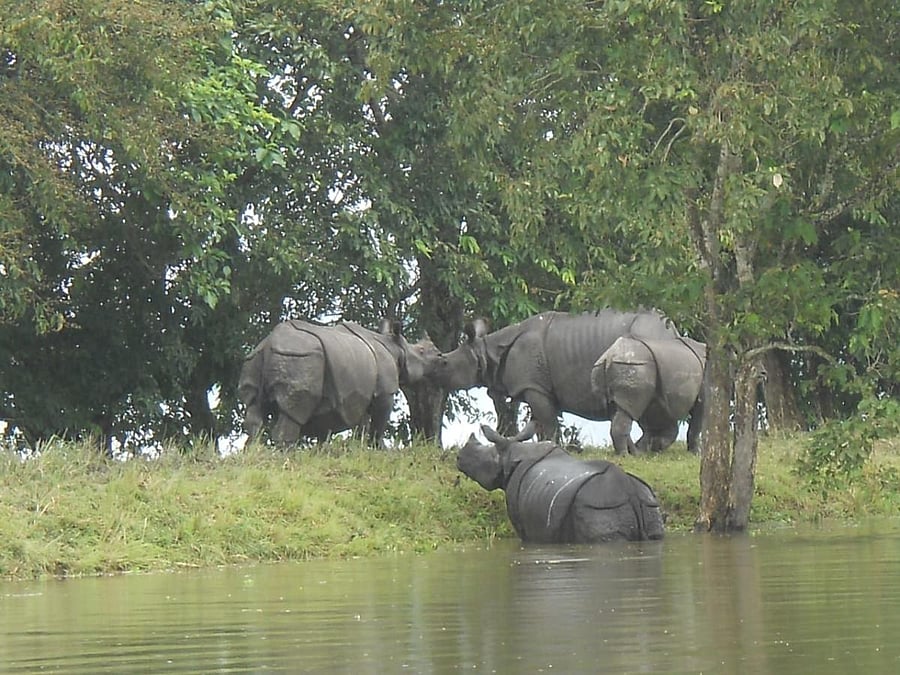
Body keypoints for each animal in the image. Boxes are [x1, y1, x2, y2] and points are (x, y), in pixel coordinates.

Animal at [238, 319, 442, 445]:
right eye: (421, 351)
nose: (440, 356)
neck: (396, 348)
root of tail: (269, 344)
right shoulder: (385, 390)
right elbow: (379, 420)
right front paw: (379, 448)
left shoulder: (357, 393)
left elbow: (360, 424)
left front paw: (357, 449)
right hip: (301, 357)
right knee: (296, 410)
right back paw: (285, 457)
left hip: (256, 358)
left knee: (254, 409)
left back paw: (253, 453)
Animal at [431, 310, 680, 442]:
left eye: (444, 363)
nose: (431, 376)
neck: (487, 351)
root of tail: (672, 331)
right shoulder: (536, 386)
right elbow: (535, 424)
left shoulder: (533, 386)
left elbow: (548, 423)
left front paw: (552, 449)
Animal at [458, 423, 665, 543]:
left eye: (484, 456)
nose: (459, 458)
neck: (512, 453)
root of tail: (630, 491)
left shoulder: (520, 519)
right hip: (649, 506)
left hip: (598, 507)